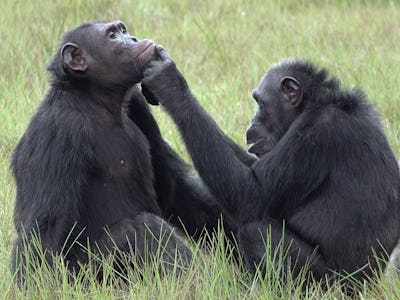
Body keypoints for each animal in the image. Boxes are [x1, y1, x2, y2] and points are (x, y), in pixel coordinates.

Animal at [10, 21, 234, 284]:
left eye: (123, 30)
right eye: (112, 35)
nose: (133, 39)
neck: (96, 100)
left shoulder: (138, 105)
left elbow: (175, 190)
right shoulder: (60, 129)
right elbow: (45, 228)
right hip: (87, 277)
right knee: (142, 228)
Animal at [141, 45, 400, 282]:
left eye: (260, 103)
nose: (252, 120)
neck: (312, 104)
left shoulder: (318, 133)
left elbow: (251, 192)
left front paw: (169, 83)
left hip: (326, 284)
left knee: (255, 231)